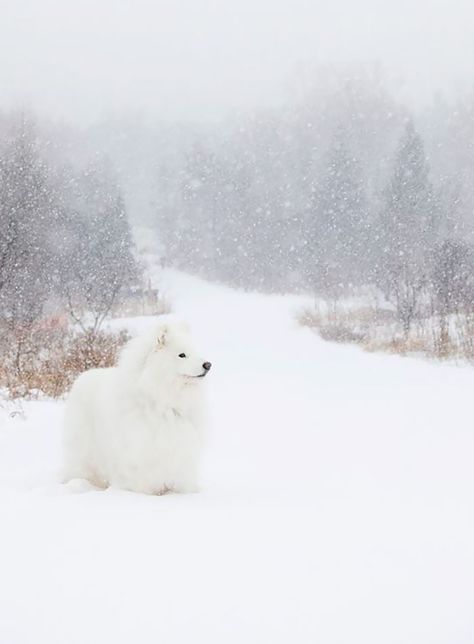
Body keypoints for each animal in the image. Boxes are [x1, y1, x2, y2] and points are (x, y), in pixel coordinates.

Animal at [62, 320, 211, 496]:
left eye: (195, 352)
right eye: (182, 355)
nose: (208, 364)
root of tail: (82, 376)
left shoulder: (181, 448)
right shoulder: (140, 449)